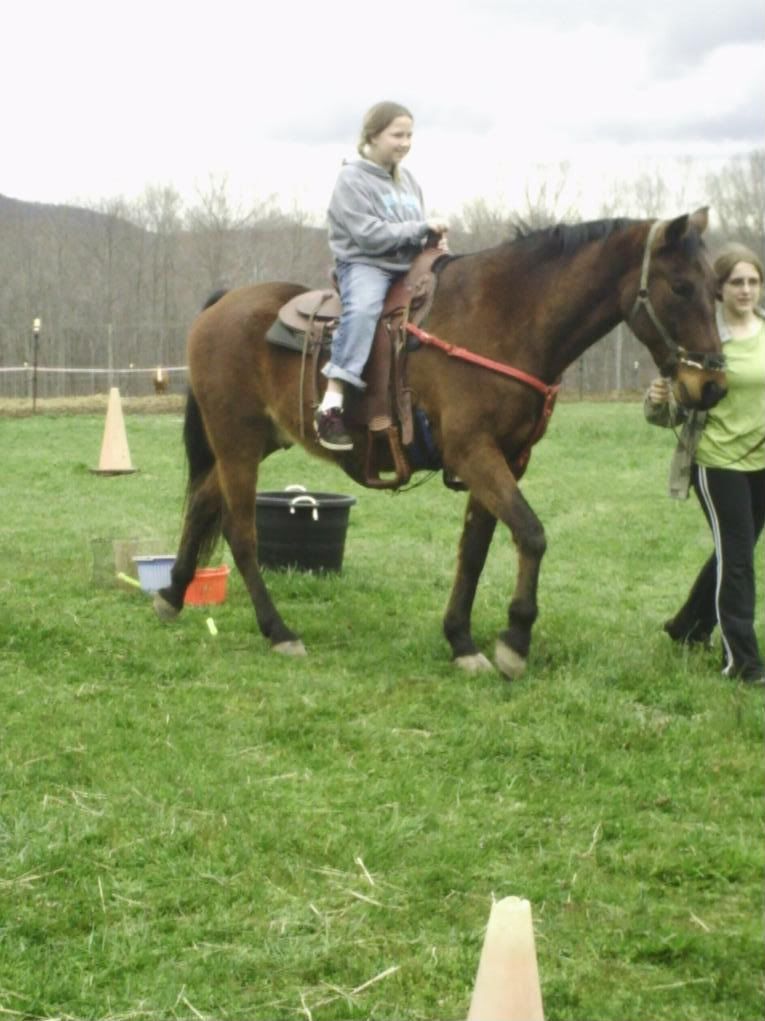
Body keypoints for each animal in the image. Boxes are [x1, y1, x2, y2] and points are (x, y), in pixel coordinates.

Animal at [153, 209, 723, 677]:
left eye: (715, 289)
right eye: (679, 287)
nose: (712, 385)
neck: (502, 319)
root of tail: (220, 306)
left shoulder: (505, 460)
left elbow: (475, 550)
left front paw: (461, 641)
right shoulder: (474, 453)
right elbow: (532, 534)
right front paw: (515, 640)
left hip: (251, 442)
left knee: (202, 504)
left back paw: (172, 594)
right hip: (238, 443)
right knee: (240, 532)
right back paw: (278, 631)